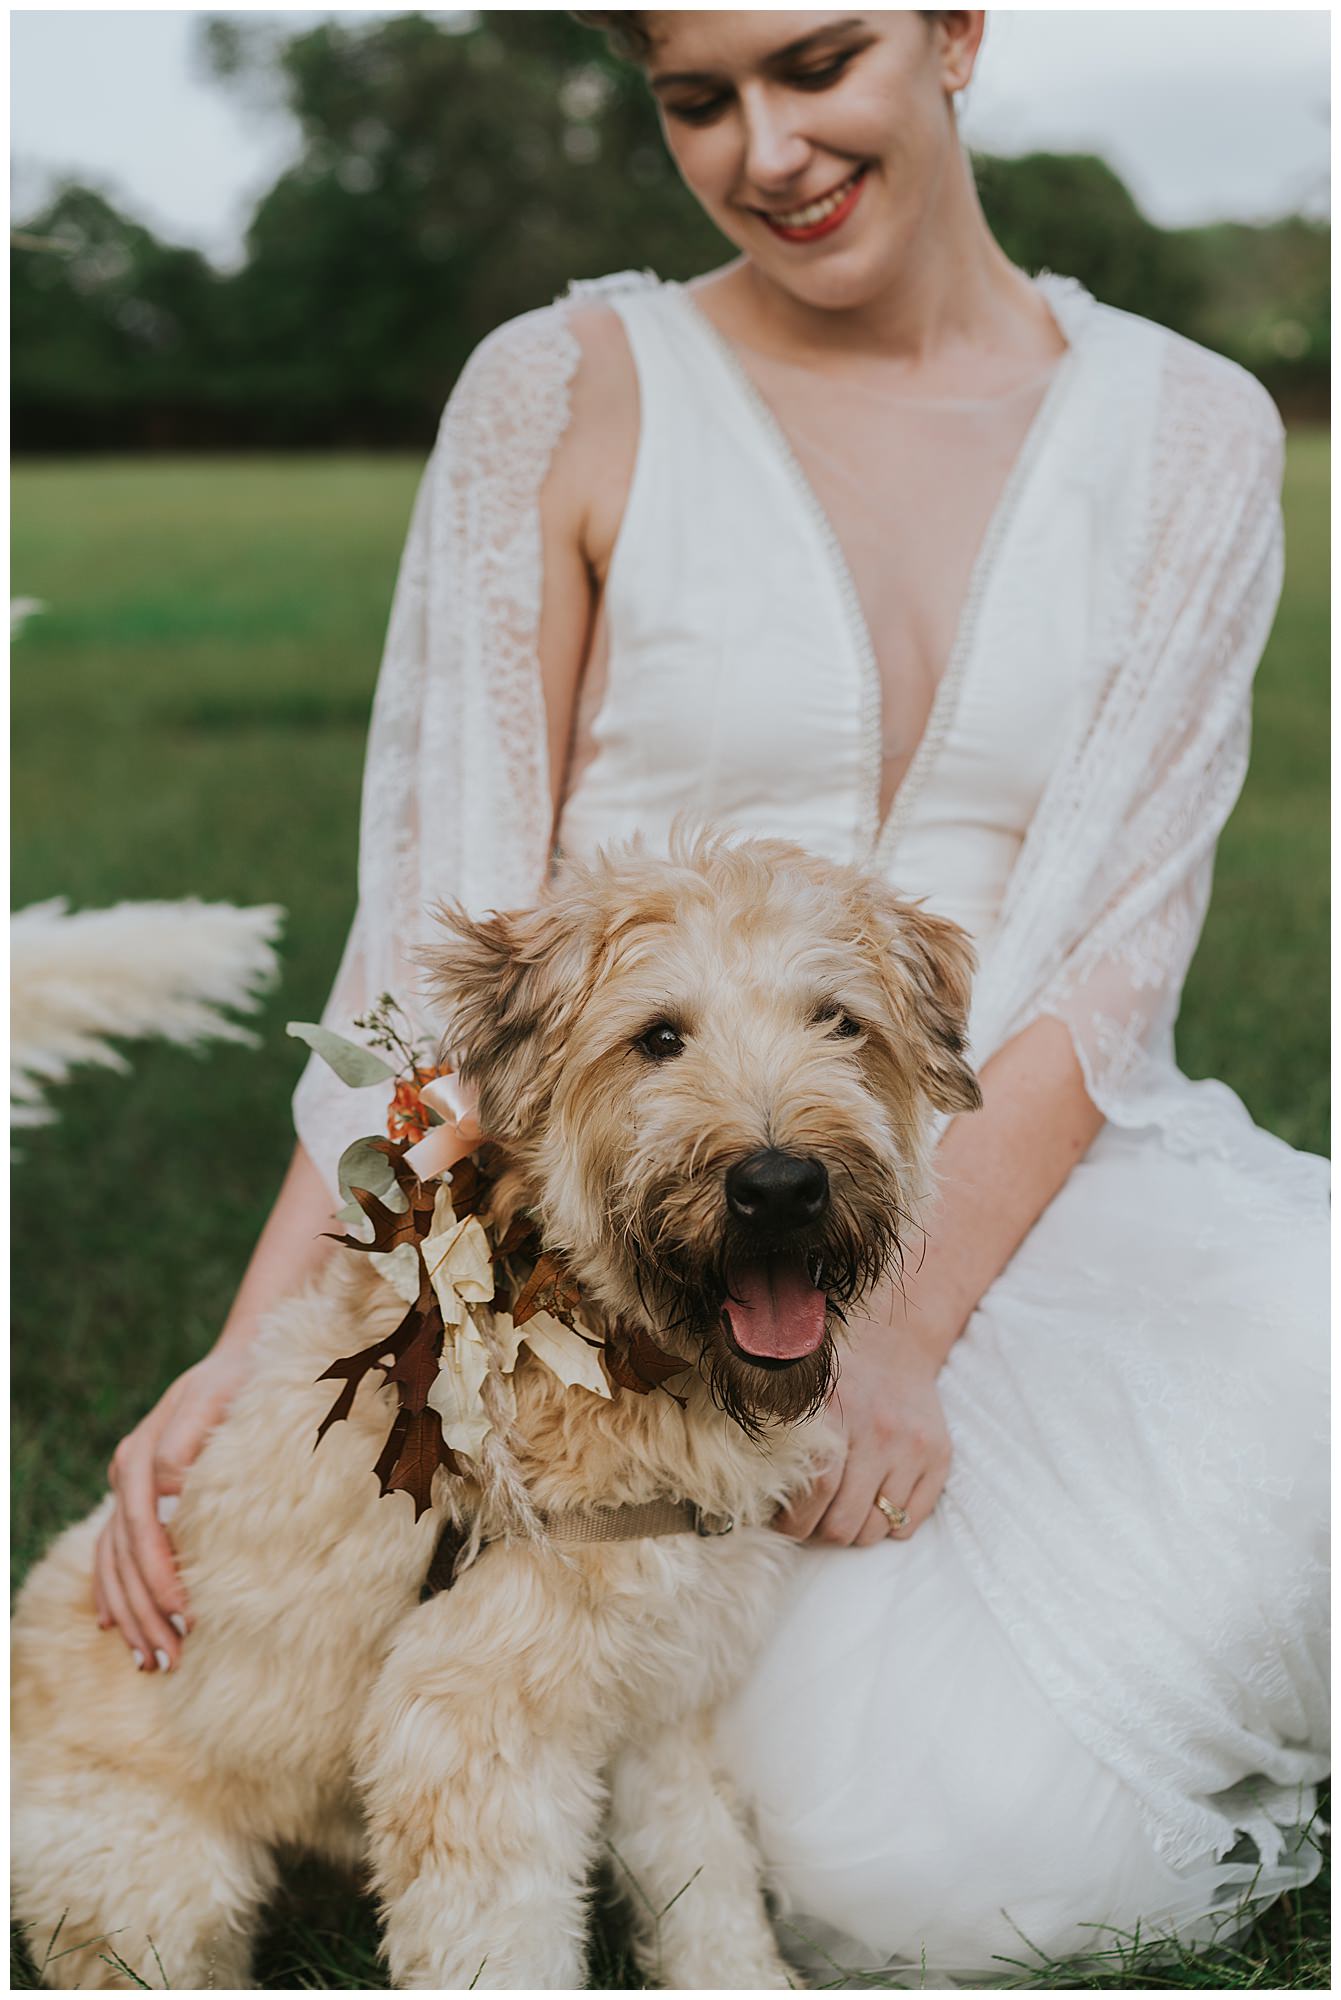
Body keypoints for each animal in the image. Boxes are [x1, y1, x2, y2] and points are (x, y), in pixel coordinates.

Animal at [7, 828, 976, 1984]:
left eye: (838, 1020)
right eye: (659, 1037)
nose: (781, 1186)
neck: (614, 1360)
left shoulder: (658, 1703)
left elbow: (709, 1885)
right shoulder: (470, 1732)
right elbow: (509, 1942)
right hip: (157, 1891)